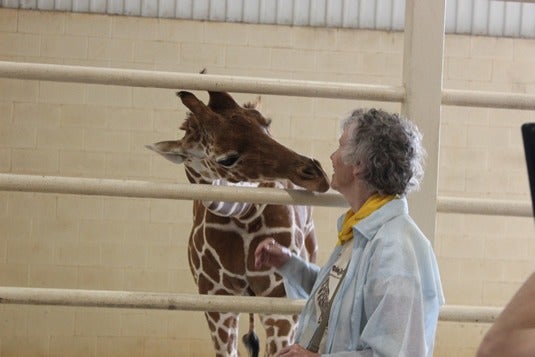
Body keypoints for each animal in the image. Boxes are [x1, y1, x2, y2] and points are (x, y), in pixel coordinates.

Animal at [148, 90, 330, 354]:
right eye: (227, 159)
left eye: (265, 123)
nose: (316, 174)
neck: (245, 215)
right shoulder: (217, 302)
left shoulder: (279, 302)